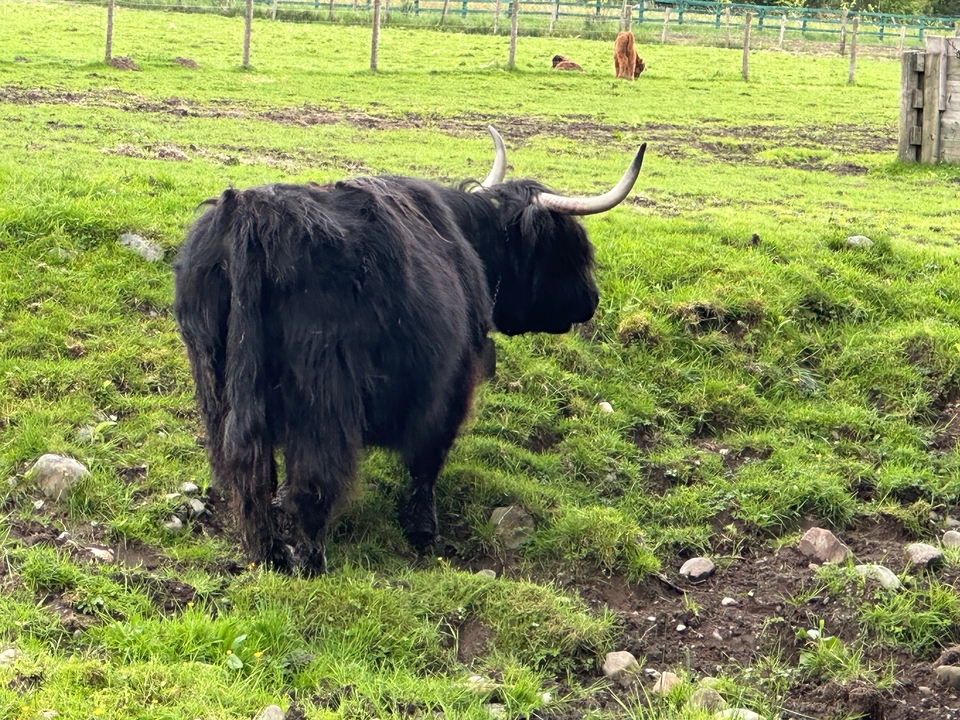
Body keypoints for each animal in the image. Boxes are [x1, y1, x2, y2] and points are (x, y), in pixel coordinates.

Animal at [173, 127, 646, 575]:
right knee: (311, 478)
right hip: (321, 393)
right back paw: (309, 560)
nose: (590, 300)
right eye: (568, 247)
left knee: (243, 467)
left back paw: (265, 554)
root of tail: (251, 214)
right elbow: (427, 459)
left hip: (215, 379)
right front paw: (422, 529)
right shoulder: (452, 383)